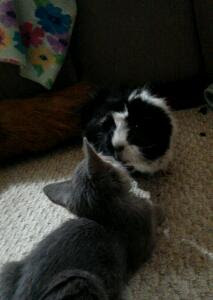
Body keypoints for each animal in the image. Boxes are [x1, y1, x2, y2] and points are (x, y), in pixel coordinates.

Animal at [0, 139, 163, 300]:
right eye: (106, 157)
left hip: (9, 268)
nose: (111, 155)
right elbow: (153, 216)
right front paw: (158, 206)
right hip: (81, 281)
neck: (105, 216)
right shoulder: (144, 239)